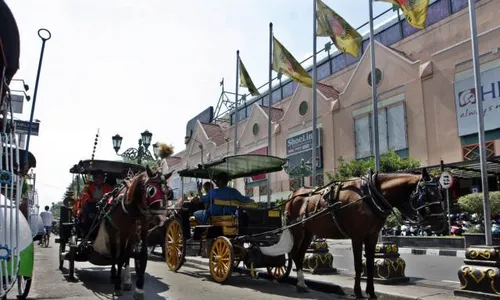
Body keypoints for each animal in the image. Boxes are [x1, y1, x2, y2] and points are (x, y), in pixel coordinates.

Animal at [93, 165, 173, 298]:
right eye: (151, 191)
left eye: (168, 191)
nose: (162, 218)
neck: (134, 208)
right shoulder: (123, 231)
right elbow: (120, 257)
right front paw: (117, 286)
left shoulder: (143, 231)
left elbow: (142, 255)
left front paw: (139, 287)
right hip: (114, 232)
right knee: (115, 254)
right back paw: (114, 275)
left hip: (132, 235)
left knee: (127, 254)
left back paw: (127, 280)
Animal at [286, 170, 446, 298]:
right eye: (427, 194)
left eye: (441, 194)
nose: (441, 223)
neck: (370, 195)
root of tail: (293, 194)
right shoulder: (357, 236)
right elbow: (358, 265)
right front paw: (358, 293)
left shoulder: (372, 235)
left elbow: (369, 263)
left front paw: (372, 293)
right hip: (297, 230)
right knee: (294, 253)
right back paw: (299, 283)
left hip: (308, 232)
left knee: (300, 255)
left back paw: (301, 283)